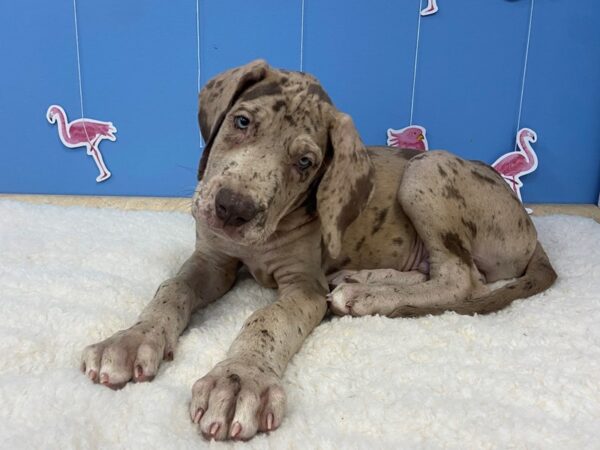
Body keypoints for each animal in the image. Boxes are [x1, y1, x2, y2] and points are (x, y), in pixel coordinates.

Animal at [81, 59, 556, 440]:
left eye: (305, 163)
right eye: (241, 122)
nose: (232, 208)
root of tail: (529, 225)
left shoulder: (304, 287)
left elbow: (267, 320)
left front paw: (239, 380)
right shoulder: (213, 260)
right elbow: (172, 289)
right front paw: (131, 338)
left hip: (425, 168)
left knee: (460, 279)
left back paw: (364, 296)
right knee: (434, 271)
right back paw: (364, 280)